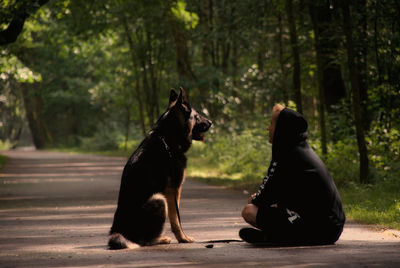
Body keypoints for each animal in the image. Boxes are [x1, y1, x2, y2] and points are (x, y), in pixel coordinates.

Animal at [106, 87, 212, 249]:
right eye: (197, 115)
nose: (211, 122)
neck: (167, 138)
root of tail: (118, 232)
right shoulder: (173, 190)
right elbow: (176, 219)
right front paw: (183, 238)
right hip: (159, 199)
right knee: (144, 241)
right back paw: (160, 239)